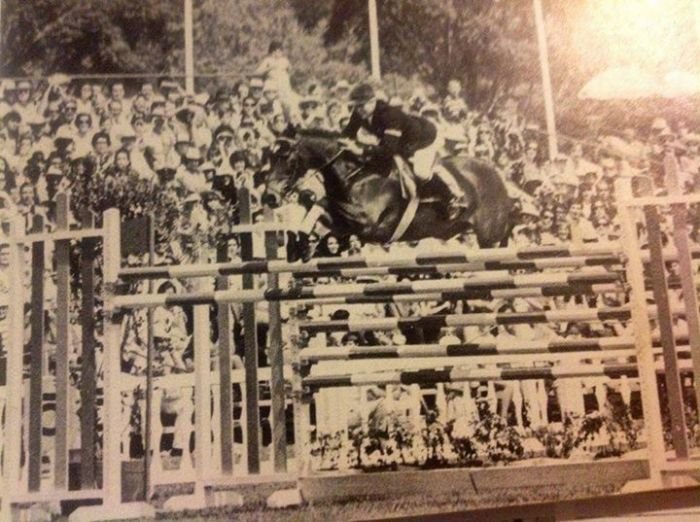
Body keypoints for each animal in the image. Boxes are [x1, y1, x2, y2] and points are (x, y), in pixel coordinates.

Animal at [264, 130, 513, 247]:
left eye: (285, 157)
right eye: (270, 156)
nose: (269, 197)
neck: (358, 174)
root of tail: (499, 176)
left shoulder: (368, 223)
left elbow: (326, 207)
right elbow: (322, 208)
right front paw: (302, 240)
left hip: (489, 238)